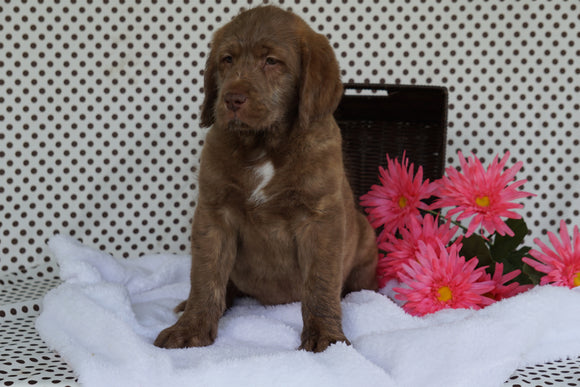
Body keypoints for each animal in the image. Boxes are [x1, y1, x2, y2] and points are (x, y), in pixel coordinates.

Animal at [153, 4, 376, 354]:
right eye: (227, 60)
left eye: (271, 61)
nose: (232, 99)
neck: (263, 144)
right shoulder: (214, 214)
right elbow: (205, 275)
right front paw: (191, 327)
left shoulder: (320, 218)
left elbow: (321, 282)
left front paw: (326, 335)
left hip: (366, 236)